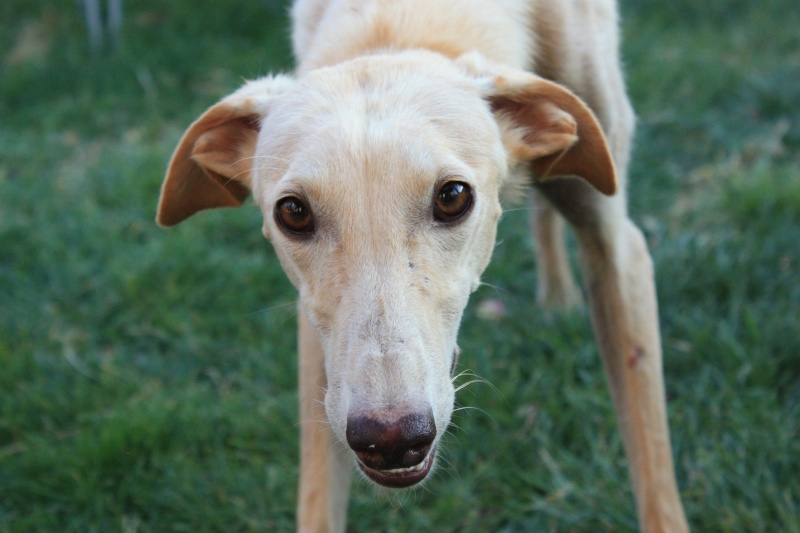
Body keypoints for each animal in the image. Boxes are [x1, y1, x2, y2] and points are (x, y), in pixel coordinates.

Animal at [156, 1, 688, 528]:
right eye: (292, 212)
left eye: (452, 196)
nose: (390, 440)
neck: (396, 22)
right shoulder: (322, 348)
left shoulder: (620, 251)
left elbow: (655, 474)